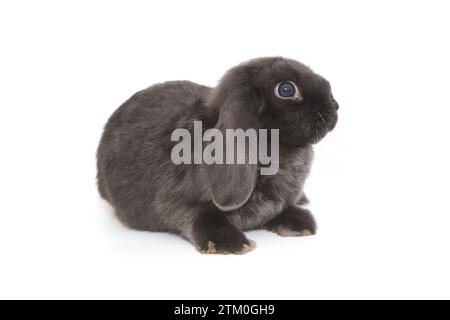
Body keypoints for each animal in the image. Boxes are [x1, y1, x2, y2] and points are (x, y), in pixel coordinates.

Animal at [96, 56, 340, 254]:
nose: (335, 105)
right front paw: (231, 244)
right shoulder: (177, 201)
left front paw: (301, 223)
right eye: (287, 89)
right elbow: (198, 216)